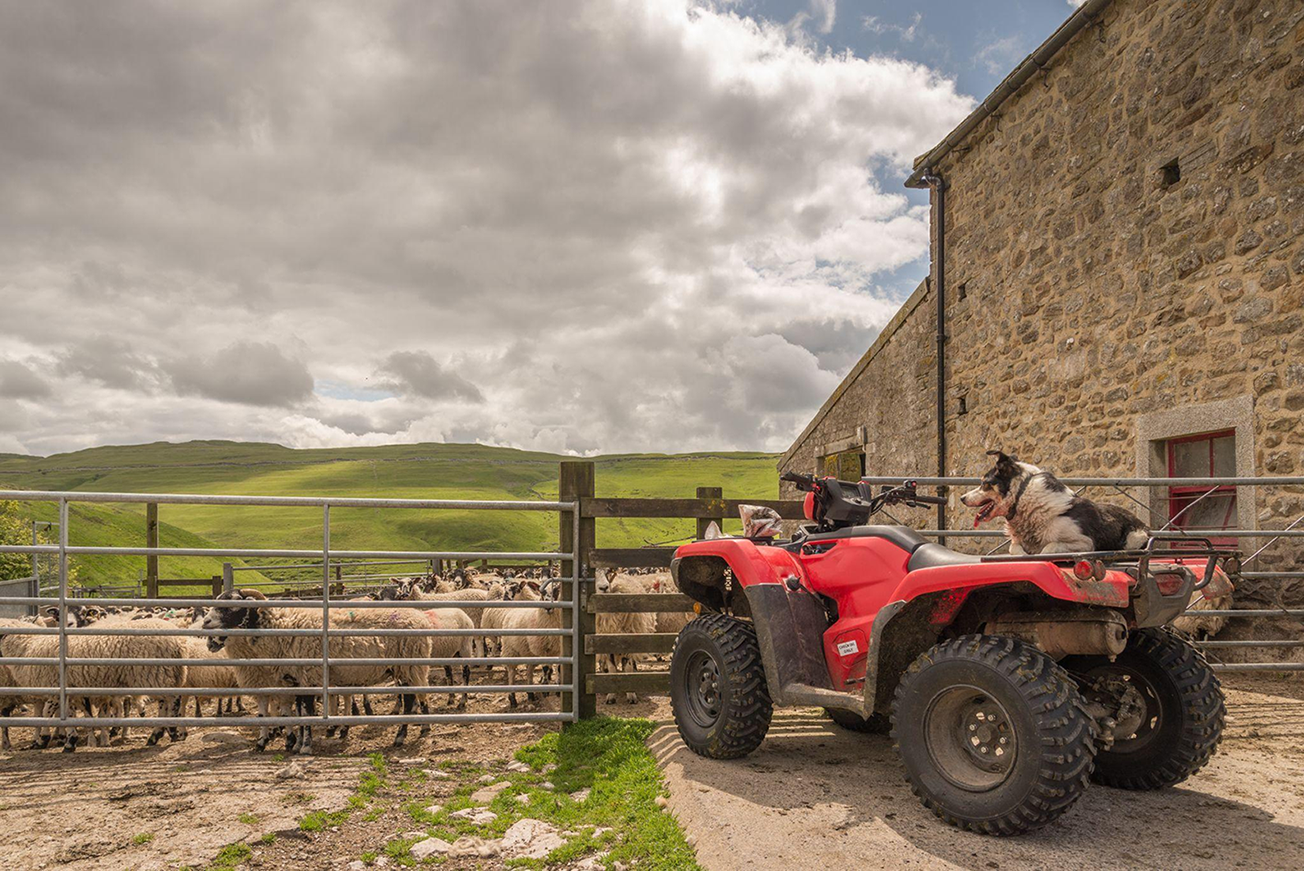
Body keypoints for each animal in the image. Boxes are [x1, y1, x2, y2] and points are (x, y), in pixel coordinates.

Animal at [200, 591, 430, 756]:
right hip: (406, 668)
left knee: (410, 701)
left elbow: (308, 712)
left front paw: (305, 746)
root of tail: (421, 620)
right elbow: (300, 712)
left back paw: (400, 736)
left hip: (409, 666)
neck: (283, 629)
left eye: (234, 604)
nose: (205, 623)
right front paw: (296, 743)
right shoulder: (296, 680)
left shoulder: (309, 676)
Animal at [959, 453, 1152, 555]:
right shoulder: (1016, 543)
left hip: (1134, 538)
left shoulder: (1085, 542)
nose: (961, 498)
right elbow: (1015, 549)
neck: (1024, 498)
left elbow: (1049, 547)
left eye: (984, 484)